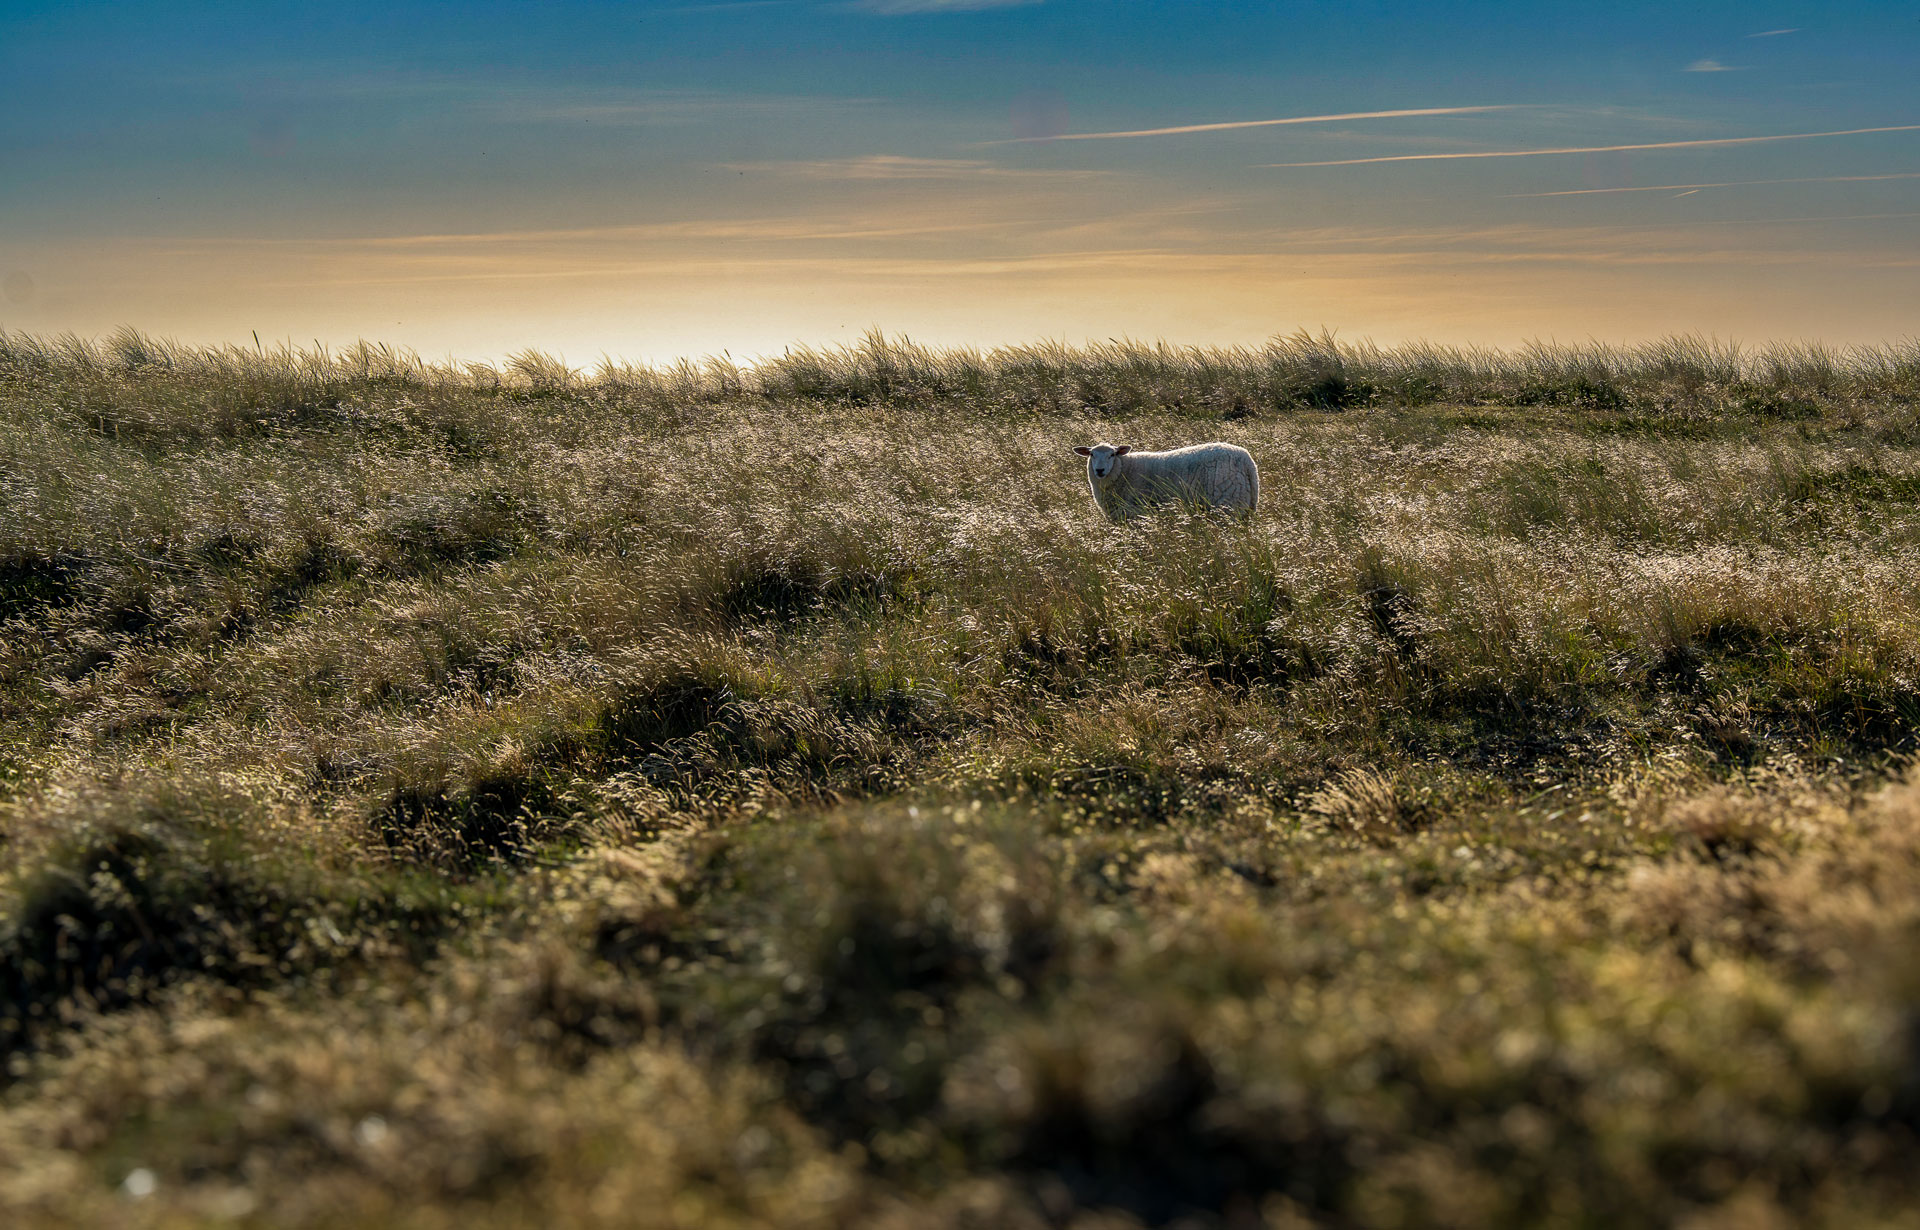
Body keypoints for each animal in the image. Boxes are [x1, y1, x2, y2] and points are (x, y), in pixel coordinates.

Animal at [1072, 441, 1259, 520]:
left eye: (1112, 454)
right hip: (1246, 506)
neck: (1124, 469)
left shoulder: (1135, 512)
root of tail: (1248, 462)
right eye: (1092, 454)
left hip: (1228, 502)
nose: (1100, 470)